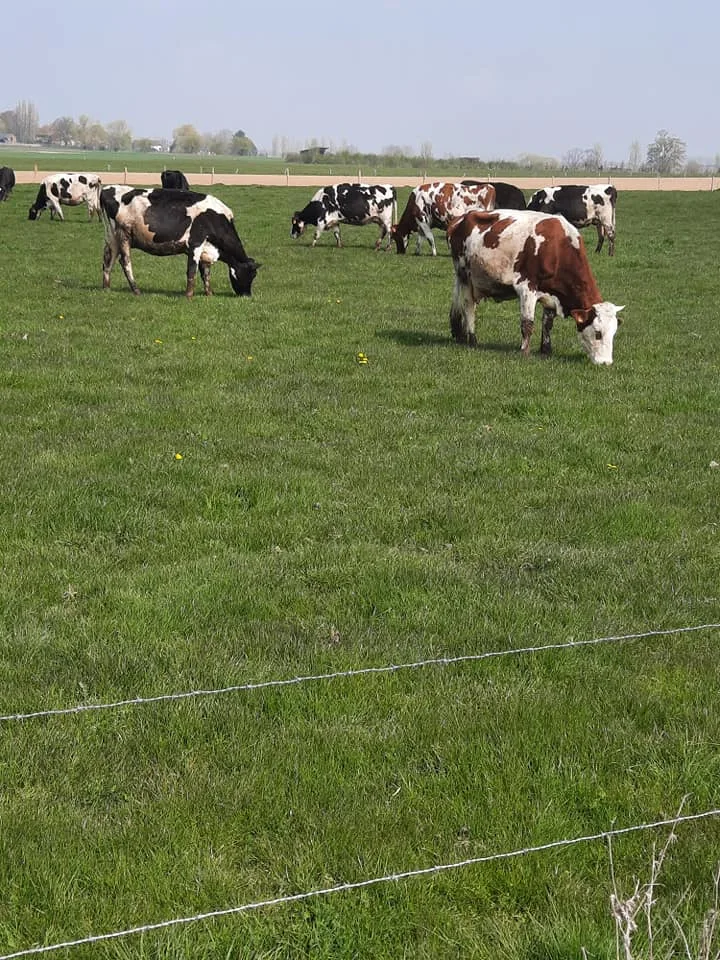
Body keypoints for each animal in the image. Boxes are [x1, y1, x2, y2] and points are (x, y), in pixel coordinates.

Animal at [100, 185, 259, 298]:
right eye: (249, 274)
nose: (247, 295)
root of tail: (107, 189)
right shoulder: (195, 243)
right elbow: (192, 270)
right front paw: (189, 296)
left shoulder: (206, 249)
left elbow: (206, 273)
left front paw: (209, 294)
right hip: (124, 234)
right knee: (125, 262)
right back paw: (136, 290)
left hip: (113, 237)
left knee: (108, 260)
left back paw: (106, 288)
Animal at [447, 209, 624, 364]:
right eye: (598, 333)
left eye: (614, 333)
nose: (606, 363)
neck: (557, 247)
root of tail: (460, 218)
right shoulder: (527, 288)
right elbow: (527, 324)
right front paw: (524, 351)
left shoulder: (552, 294)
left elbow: (547, 323)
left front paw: (546, 350)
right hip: (464, 276)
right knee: (468, 307)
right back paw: (472, 339)